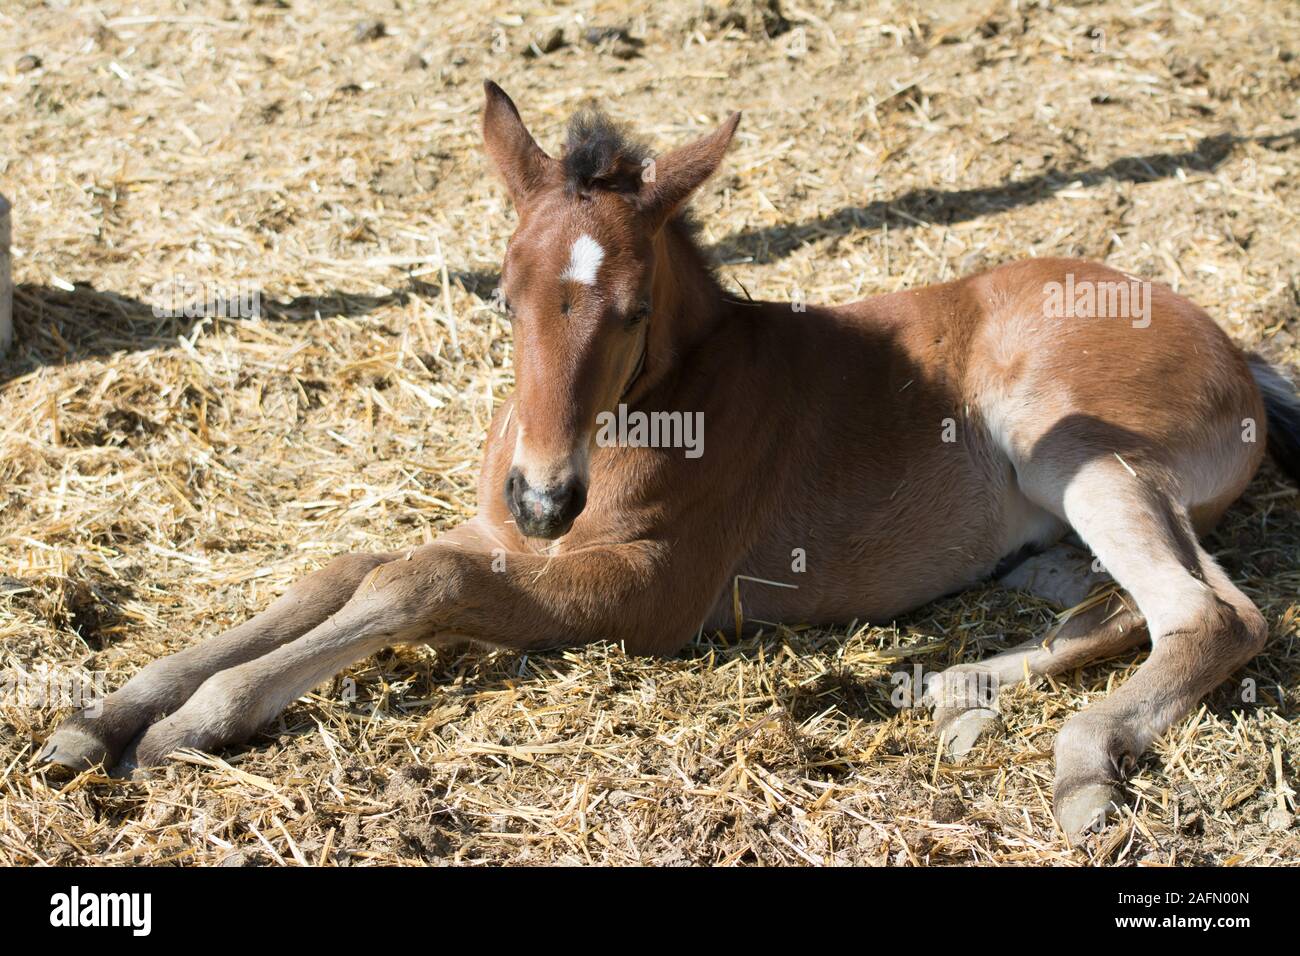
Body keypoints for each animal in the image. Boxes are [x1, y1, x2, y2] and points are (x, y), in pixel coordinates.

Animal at [43, 85, 1300, 842]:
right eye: (499, 294)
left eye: (633, 309)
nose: (545, 496)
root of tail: (1232, 347)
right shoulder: (498, 529)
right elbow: (341, 570)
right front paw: (102, 716)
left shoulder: (654, 591)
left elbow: (412, 579)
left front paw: (200, 718)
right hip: (1060, 523)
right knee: (1112, 602)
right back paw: (950, 688)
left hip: (1077, 445)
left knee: (1212, 613)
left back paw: (1082, 759)